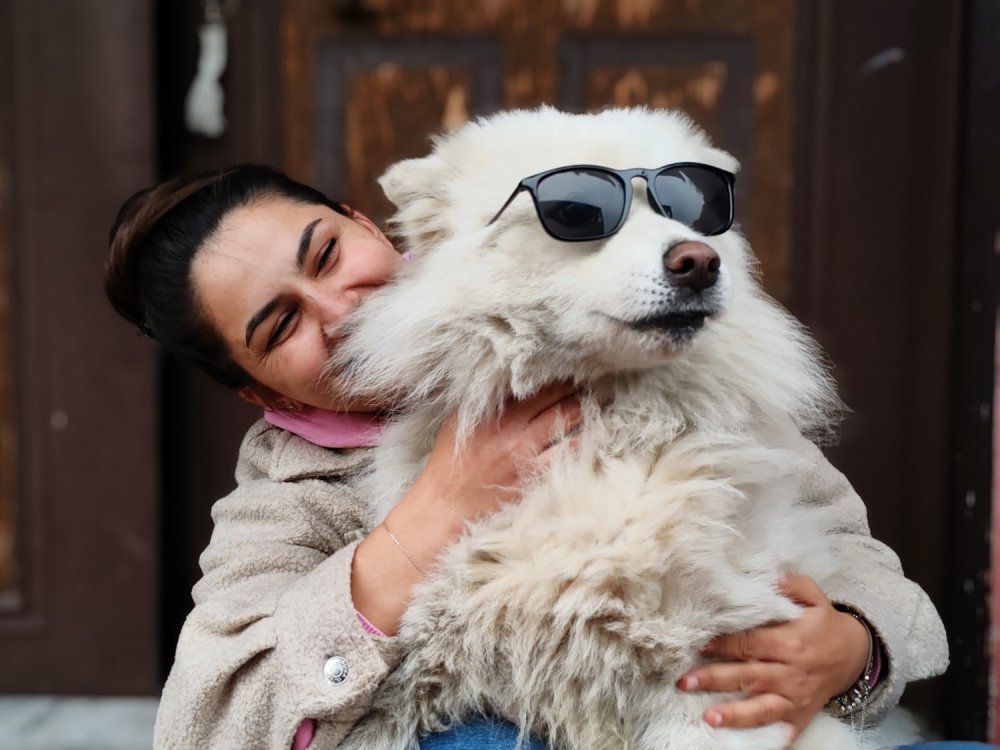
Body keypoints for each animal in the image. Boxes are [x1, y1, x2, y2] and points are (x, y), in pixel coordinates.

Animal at [334, 107, 908, 750]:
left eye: (689, 206)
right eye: (575, 213)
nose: (698, 261)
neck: (608, 432)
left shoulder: (709, 688)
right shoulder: (415, 677)